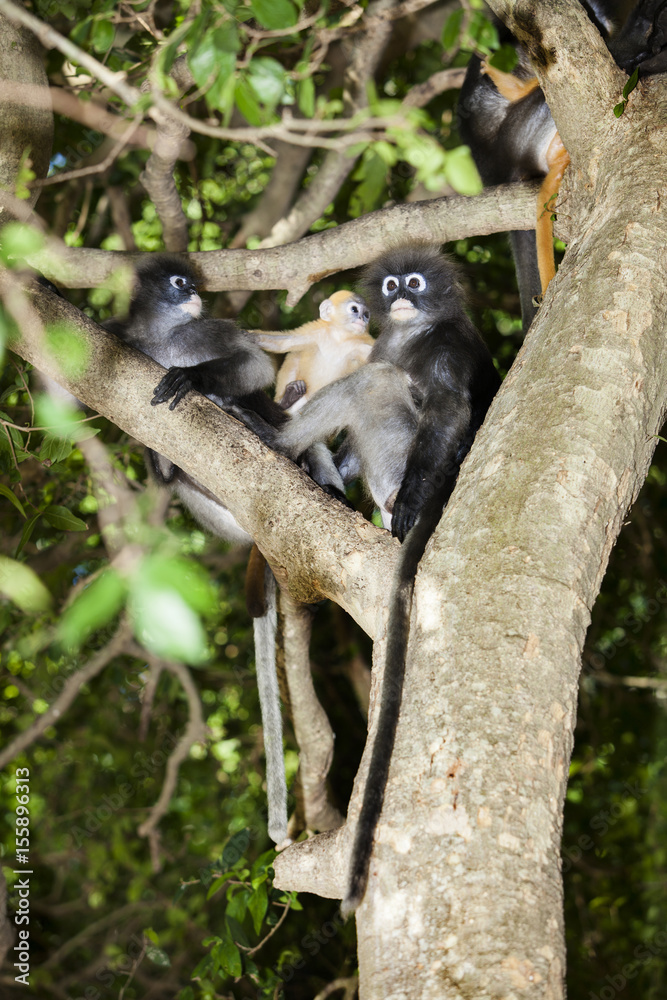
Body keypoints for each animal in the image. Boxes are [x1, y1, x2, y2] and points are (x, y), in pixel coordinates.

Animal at [268, 244, 500, 911]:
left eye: (416, 284)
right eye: (393, 283)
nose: (398, 295)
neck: (410, 334)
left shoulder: (444, 348)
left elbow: (447, 407)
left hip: (400, 457)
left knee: (377, 388)